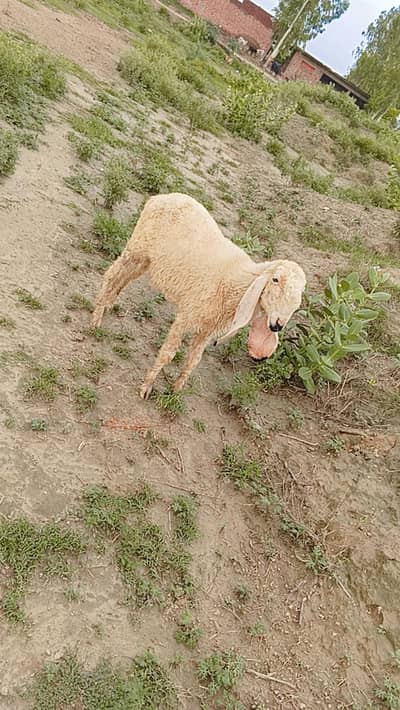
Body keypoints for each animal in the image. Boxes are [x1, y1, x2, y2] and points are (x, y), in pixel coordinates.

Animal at [91, 193, 306, 399]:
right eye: (275, 279)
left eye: (300, 296)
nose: (277, 325)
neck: (234, 284)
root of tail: (161, 197)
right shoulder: (187, 315)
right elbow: (168, 354)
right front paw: (146, 387)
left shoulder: (207, 330)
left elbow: (193, 361)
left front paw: (176, 391)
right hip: (137, 247)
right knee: (112, 274)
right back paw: (96, 318)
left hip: (146, 260)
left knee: (124, 278)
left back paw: (108, 305)